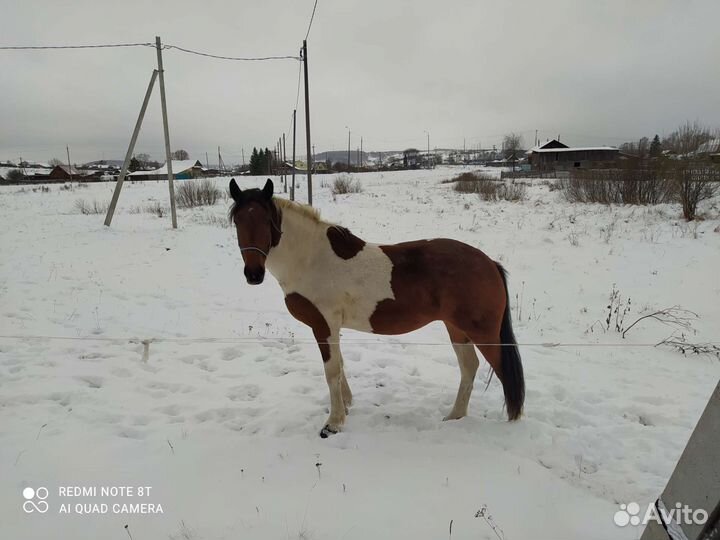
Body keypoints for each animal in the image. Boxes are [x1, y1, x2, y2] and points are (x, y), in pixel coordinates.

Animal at [229, 178, 524, 438]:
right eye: (238, 221)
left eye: (266, 220)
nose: (253, 274)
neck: (310, 258)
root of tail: (489, 263)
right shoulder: (332, 327)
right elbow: (340, 365)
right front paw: (347, 405)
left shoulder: (323, 325)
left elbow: (332, 371)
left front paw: (333, 423)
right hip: (456, 329)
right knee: (469, 368)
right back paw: (455, 417)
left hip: (483, 334)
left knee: (504, 373)